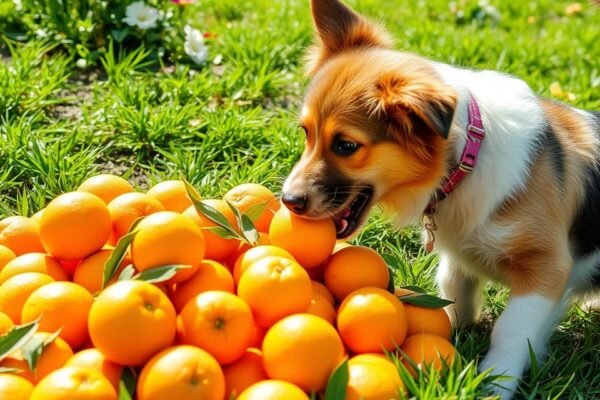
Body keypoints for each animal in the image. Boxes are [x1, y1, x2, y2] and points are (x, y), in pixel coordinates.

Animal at [282, 0, 600, 396]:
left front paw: (495, 382)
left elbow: (510, 328)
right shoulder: (460, 254)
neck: (466, 158)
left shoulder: (547, 266)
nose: (288, 200)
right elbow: (452, 289)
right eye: (306, 133)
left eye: (346, 146)